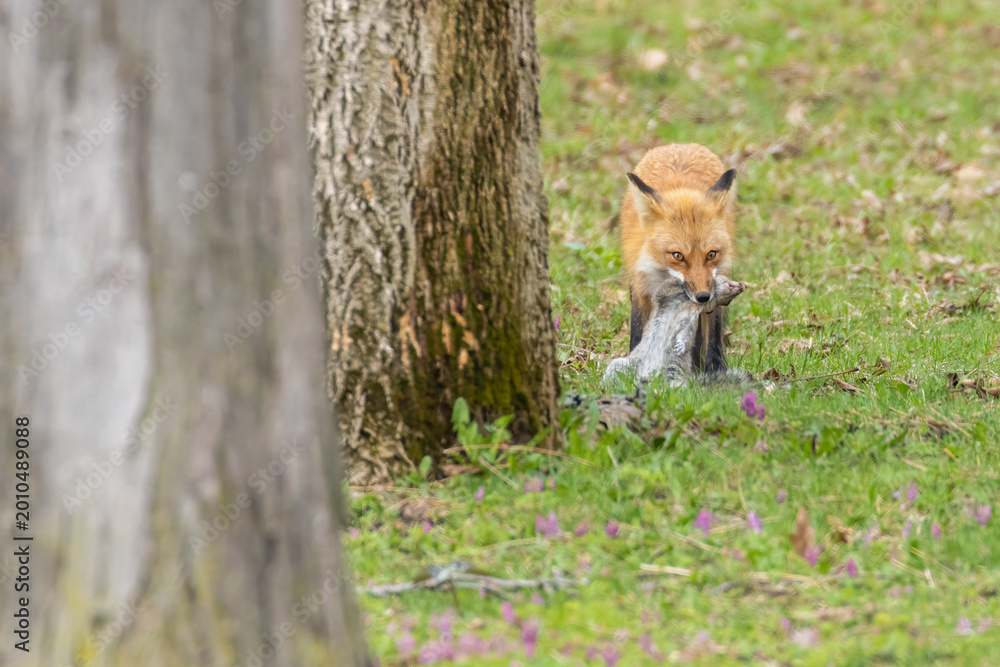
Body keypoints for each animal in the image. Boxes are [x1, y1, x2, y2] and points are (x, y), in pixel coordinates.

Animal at [619, 144, 737, 374]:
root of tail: (679, 145)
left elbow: (712, 338)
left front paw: (713, 372)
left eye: (711, 254)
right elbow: (638, 332)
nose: (703, 297)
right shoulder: (641, 285)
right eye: (678, 256)